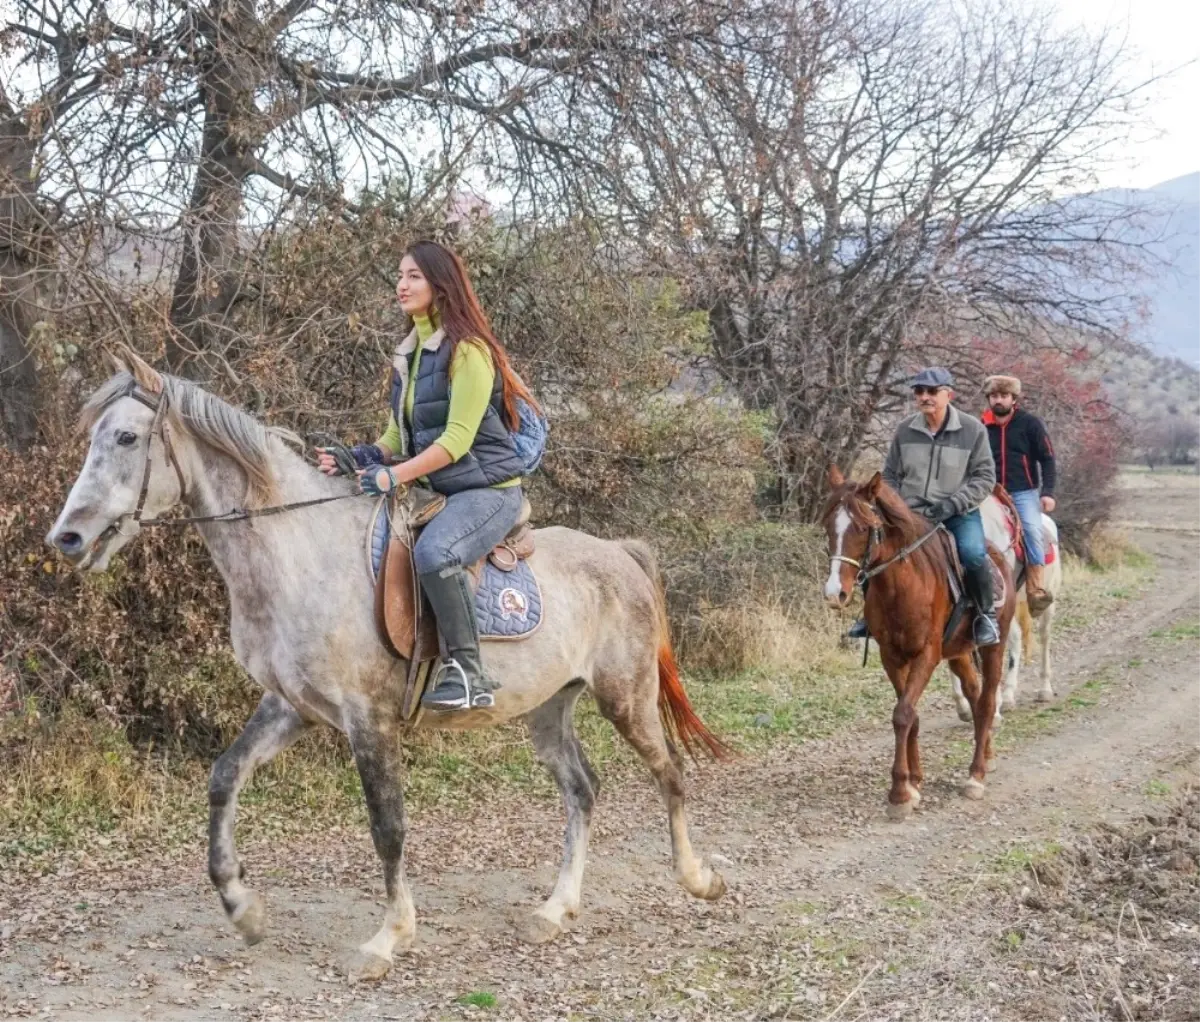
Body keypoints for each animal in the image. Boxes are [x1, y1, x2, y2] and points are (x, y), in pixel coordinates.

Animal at [46, 352, 724, 983]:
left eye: (125, 437)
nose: (67, 538)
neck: (299, 553)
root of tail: (620, 554)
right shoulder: (292, 707)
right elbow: (224, 777)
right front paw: (244, 910)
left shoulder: (368, 719)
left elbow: (387, 826)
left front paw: (387, 939)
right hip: (549, 708)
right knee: (582, 789)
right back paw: (555, 911)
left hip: (625, 696)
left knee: (671, 772)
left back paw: (696, 878)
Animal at [825, 467, 1012, 820]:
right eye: (828, 526)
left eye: (863, 528)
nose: (834, 594)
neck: (901, 586)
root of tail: (997, 557)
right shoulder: (891, 657)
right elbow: (909, 715)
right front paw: (914, 781)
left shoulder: (926, 654)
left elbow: (902, 714)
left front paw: (899, 793)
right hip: (959, 652)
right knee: (975, 693)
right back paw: (988, 754)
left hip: (994, 646)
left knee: (987, 700)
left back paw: (976, 775)